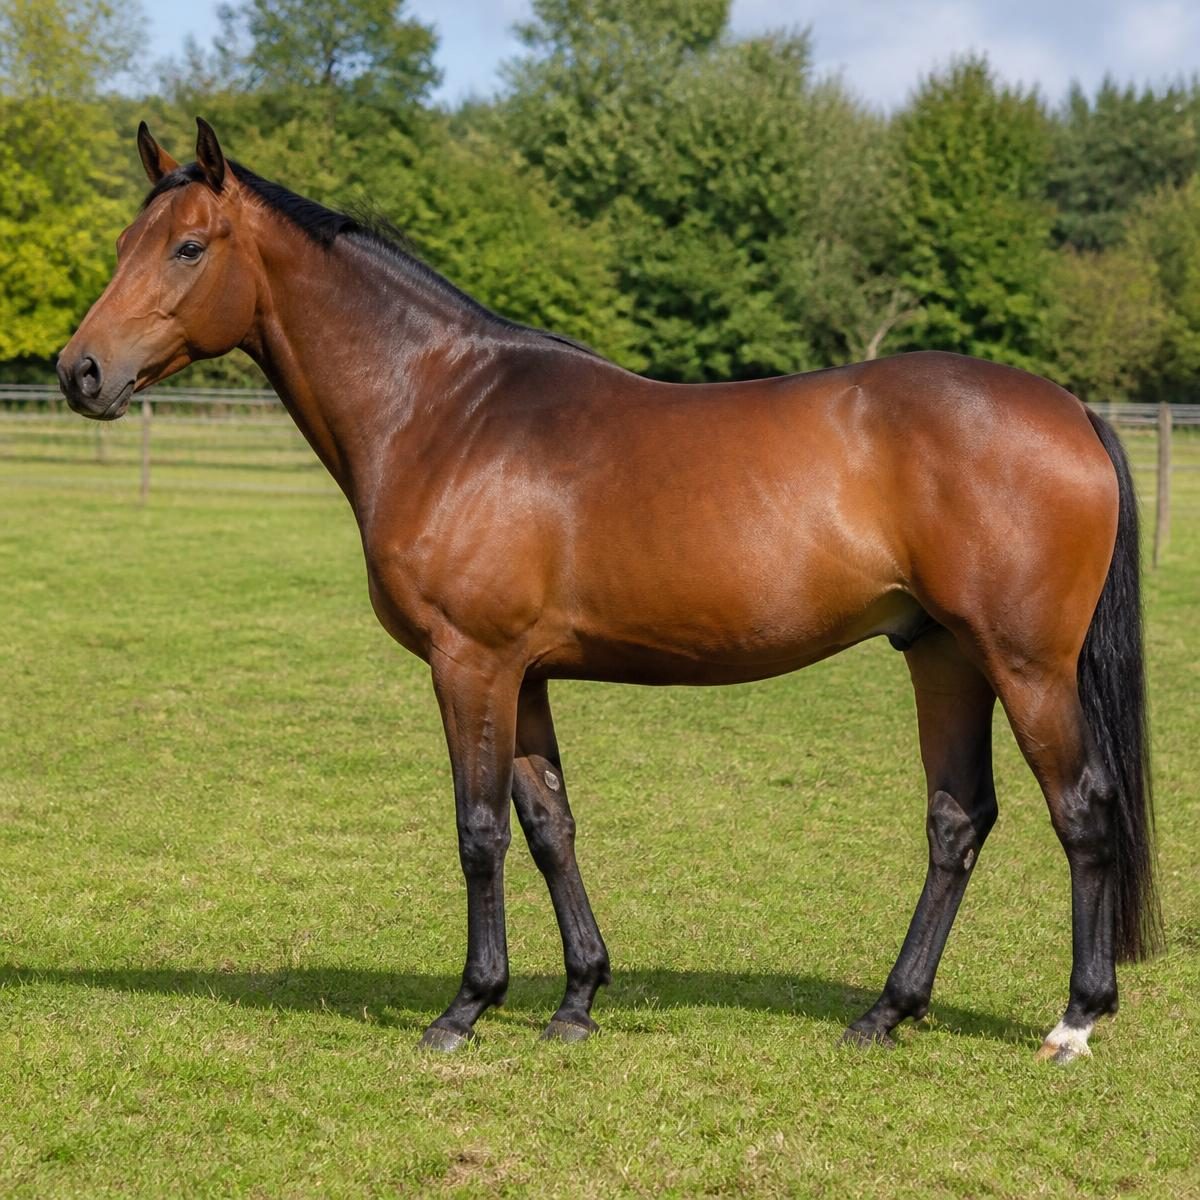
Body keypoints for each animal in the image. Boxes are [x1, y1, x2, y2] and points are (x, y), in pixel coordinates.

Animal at [57, 120, 1161, 1062]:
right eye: (122, 241)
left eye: (188, 247)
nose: (80, 371)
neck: (443, 410)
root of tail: (1070, 410)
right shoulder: (525, 674)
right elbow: (550, 827)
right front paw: (578, 998)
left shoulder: (470, 664)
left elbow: (479, 831)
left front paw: (466, 1008)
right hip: (942, 655)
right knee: (956, 821)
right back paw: (887, 1012)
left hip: (1025, 665)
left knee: (1082, 810)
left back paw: (1075, 1019)